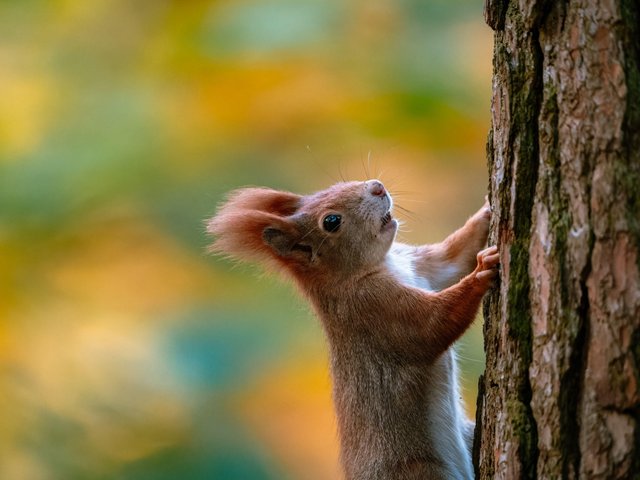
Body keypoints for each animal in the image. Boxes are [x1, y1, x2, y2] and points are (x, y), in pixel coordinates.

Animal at [208, 179, 498, 480]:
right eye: (331, 221)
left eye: (338, 184)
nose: (377, 187)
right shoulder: (373, 309)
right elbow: (433, 325)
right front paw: (481, 272)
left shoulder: (419, 265)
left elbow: (452, 258)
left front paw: (487, 209)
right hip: (418, 471)